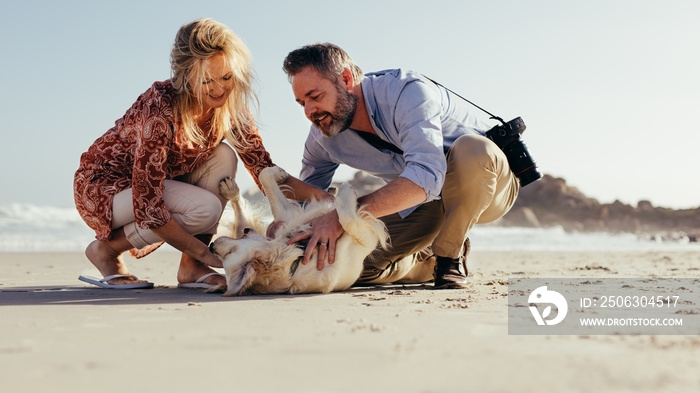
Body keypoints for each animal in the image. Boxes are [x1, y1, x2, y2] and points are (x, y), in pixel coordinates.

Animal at [212, 164, 388, 296]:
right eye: (227, 255)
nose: (212, 246)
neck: (297, 257)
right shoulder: (366, 240)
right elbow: (347, 218)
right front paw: (346, 189)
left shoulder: (286, 216)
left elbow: (264, 175)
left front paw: (279, 173)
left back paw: (230, 189)